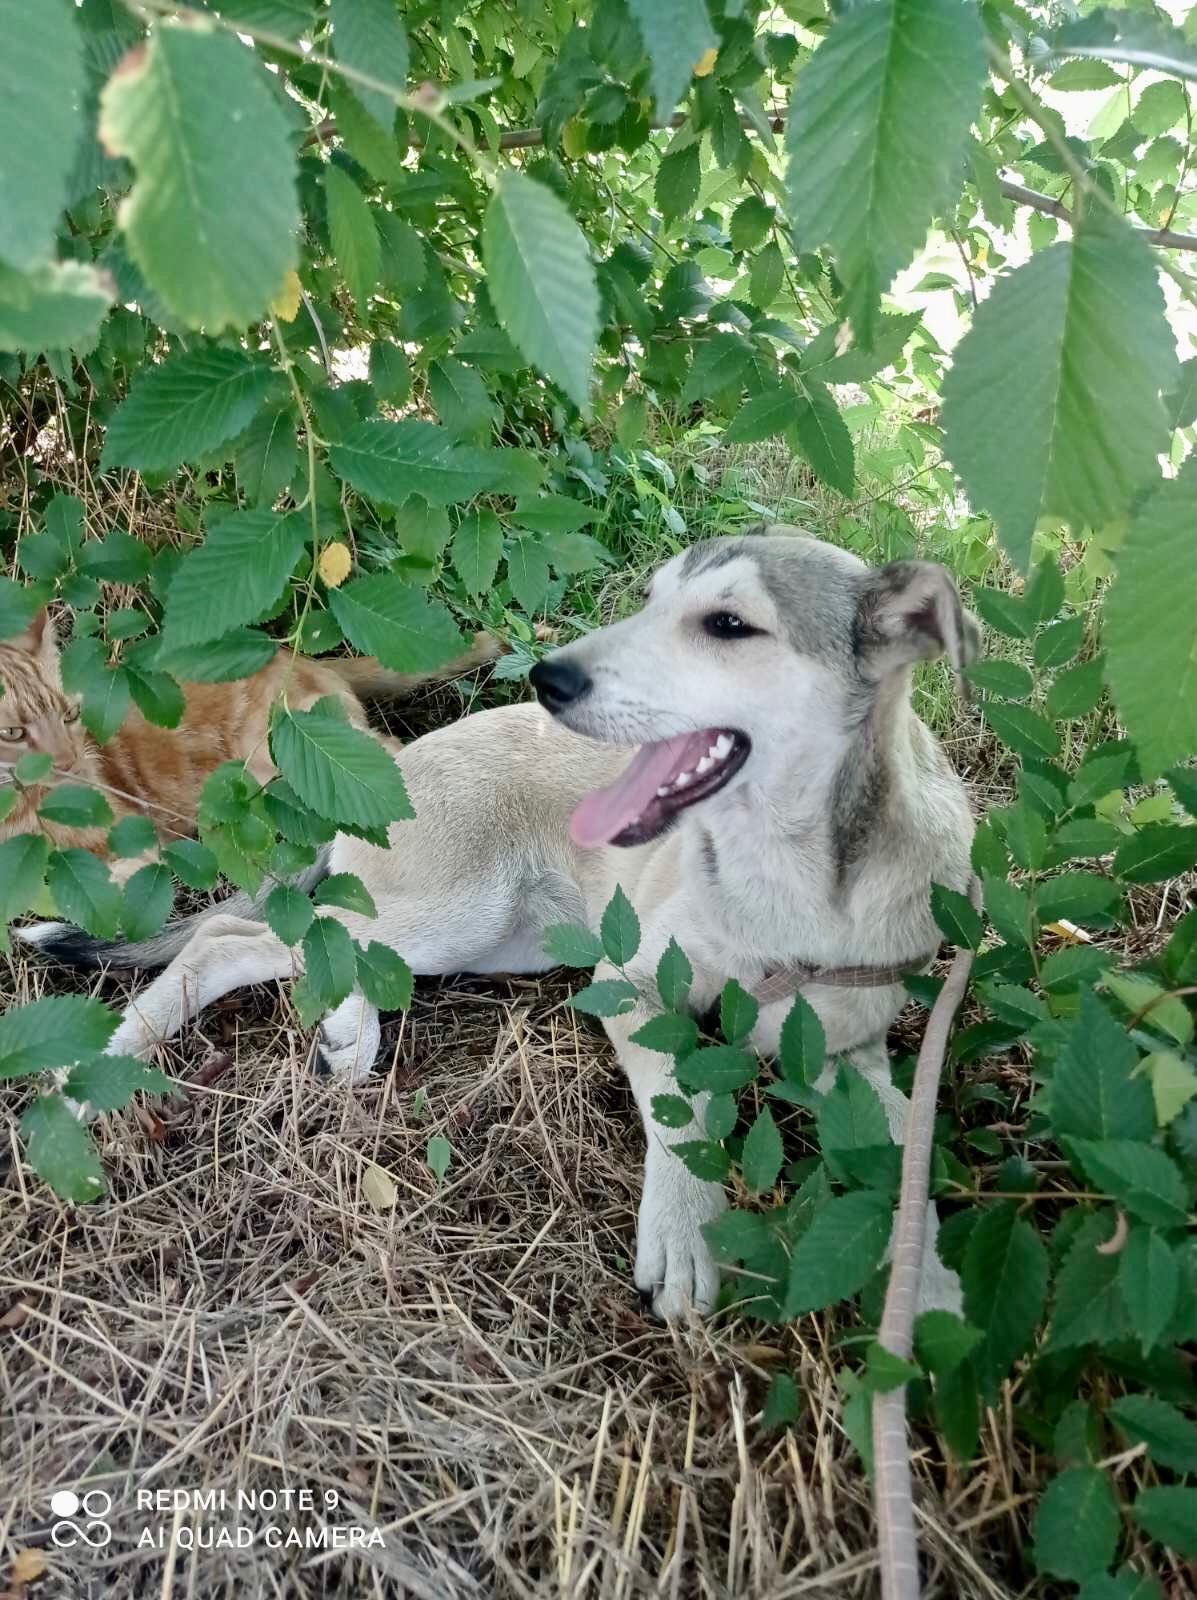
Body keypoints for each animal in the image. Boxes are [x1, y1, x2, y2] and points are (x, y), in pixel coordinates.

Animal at [0, 611, 502, 883]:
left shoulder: (131, 850)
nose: (69, 762)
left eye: (69, 715)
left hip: (279, 761)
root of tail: (299, 656)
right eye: (14, 734)